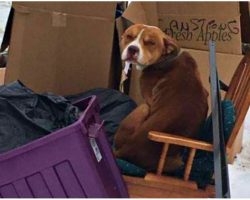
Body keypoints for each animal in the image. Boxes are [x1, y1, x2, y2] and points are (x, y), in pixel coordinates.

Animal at [114, 24, 208, 173]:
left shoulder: (148, 100)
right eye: (129, 36)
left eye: (151, 43)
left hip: (143, 108)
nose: (133, 49)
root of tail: (125, 151)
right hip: (176, 162)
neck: (165, 58)